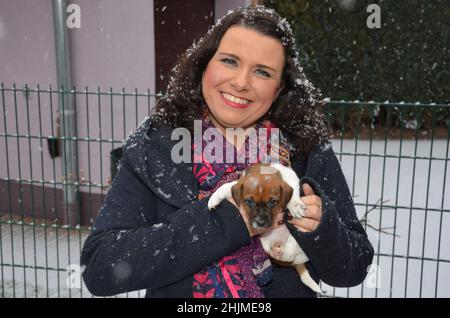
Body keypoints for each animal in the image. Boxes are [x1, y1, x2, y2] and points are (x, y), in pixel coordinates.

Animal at [207, 163, 324, 294]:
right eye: (249, 201)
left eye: (273, 201)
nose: (260, 223)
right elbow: (227, 185)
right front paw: (214, 198)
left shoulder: (292, 177)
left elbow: (293, 194)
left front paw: (295, 205)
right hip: (265, 245)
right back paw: (278, 251)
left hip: (295, 238)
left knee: (290, 252)